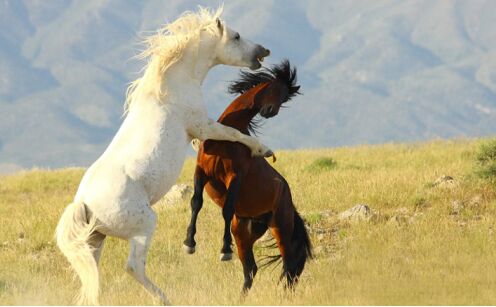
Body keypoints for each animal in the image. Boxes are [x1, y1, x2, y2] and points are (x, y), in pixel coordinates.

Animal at [56, 7, 274, 306]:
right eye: (237, 36)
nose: (263, 51)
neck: (170, 88)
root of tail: (84, 203)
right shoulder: (202, 126)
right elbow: (233, 133)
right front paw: (263, 149)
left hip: (95, 240)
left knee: (93, 279)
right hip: (144, 225)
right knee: (133, 267)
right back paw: (163, 299)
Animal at [184, 60, 312, 294]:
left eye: (285, 98)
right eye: (277, 89)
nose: (271, 111)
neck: (226, 138)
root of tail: (290, 202)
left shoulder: (235, 176)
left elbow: (226, 210)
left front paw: (225, 250)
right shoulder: (201, 172)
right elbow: (196, 202)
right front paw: (189, 243)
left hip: (280, 227)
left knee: (289, 266)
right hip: (244, 232)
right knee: (251, 269)